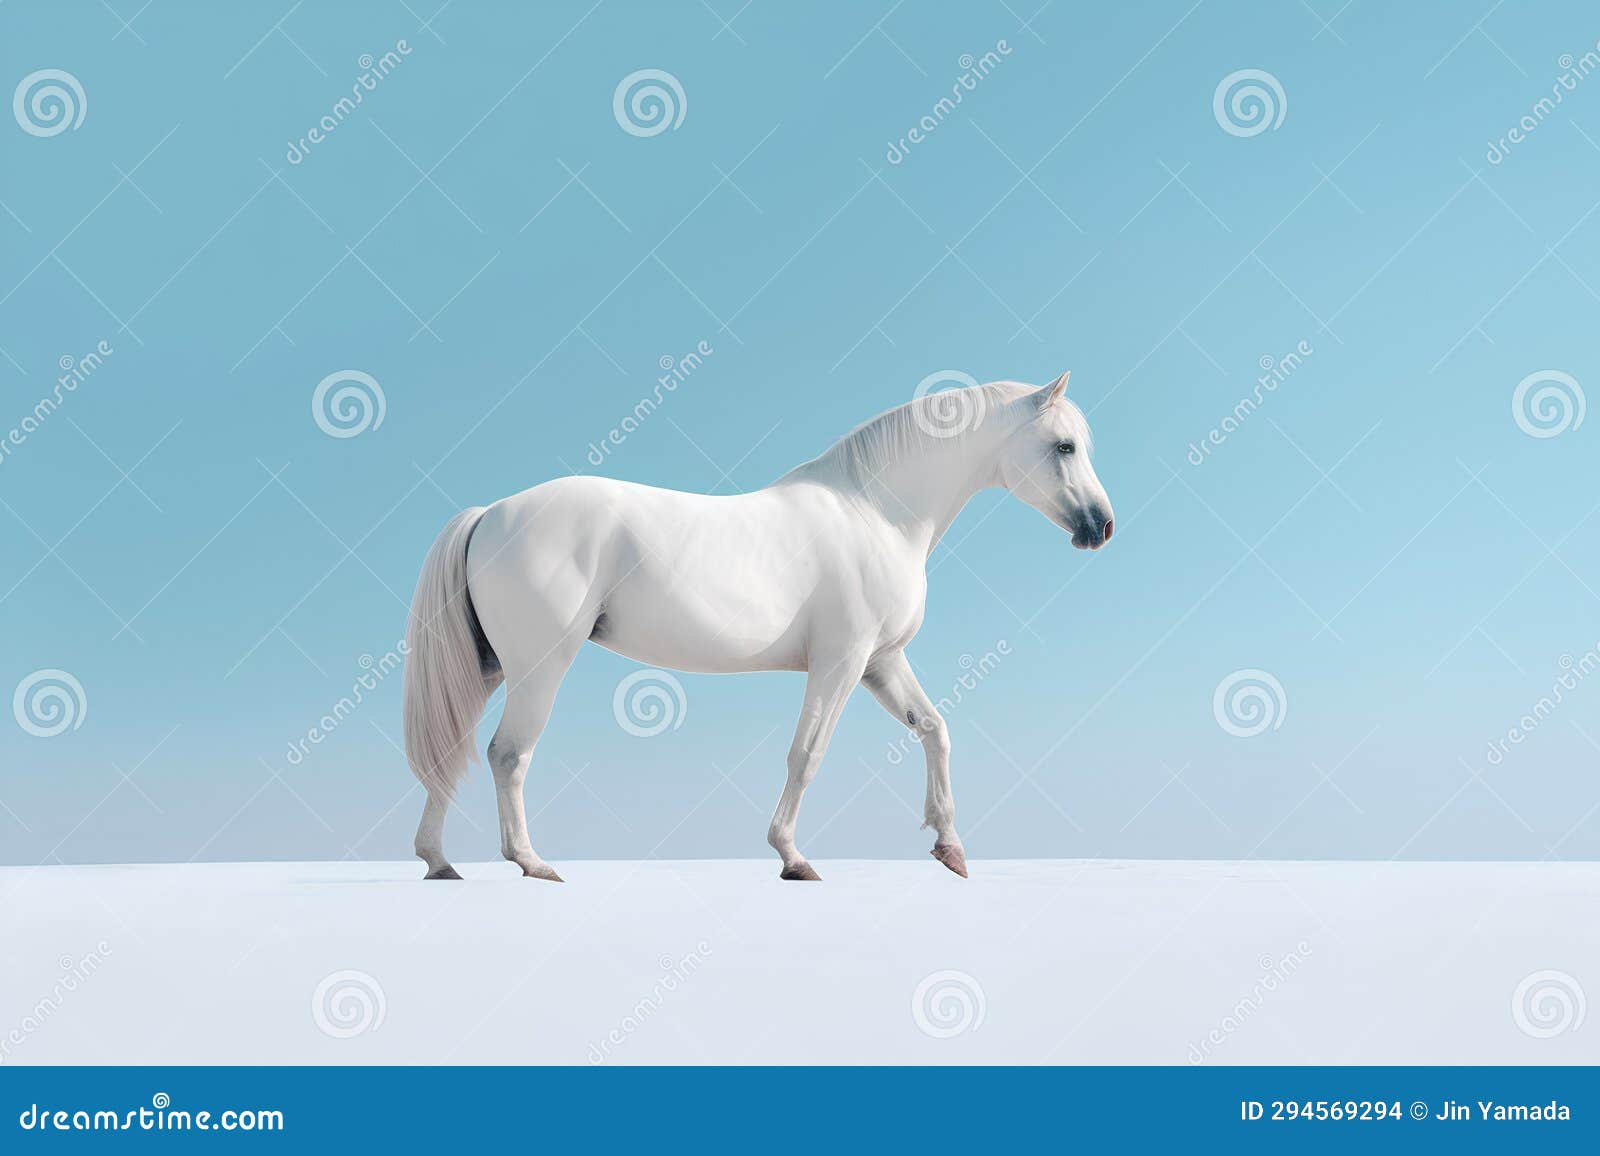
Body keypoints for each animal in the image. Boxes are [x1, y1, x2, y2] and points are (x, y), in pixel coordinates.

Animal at [401, 372, 1113, 881]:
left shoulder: (881, 663)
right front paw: (792, 857)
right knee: (507, 754)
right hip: (539, 666)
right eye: (1065, 446)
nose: (1101, 527)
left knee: (453, 751)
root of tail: (490, 512)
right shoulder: (840, 662)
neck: (876, 513)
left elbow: (934, 731)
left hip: (492, 667)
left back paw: (440, 861)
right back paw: (531, 862)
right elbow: (807, 754)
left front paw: (951, 849)